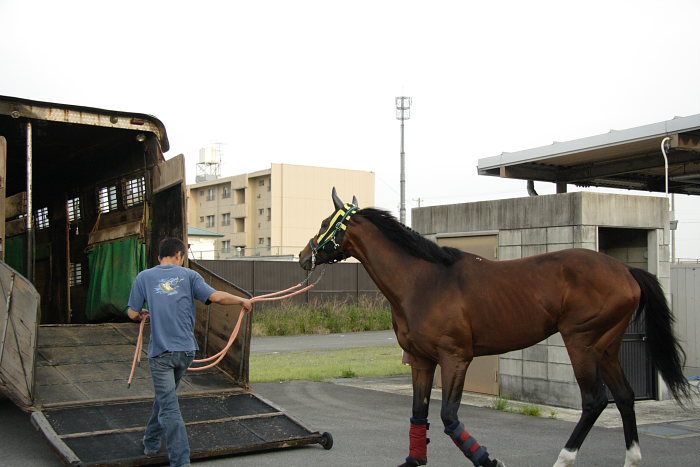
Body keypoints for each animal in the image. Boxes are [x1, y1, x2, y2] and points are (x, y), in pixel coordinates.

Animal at [296, 189, 688, 467]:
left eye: (324, 222)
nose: (303, 256)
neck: (424, 282)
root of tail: (626, 270)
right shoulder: (422, 361)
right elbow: (419, 415)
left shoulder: (455, 359)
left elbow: (449, 417)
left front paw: (488, 459)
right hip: (608, 347)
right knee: (624, 397)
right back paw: (631, 459)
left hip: (583, 343)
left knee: (595, 401)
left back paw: (564, 459)